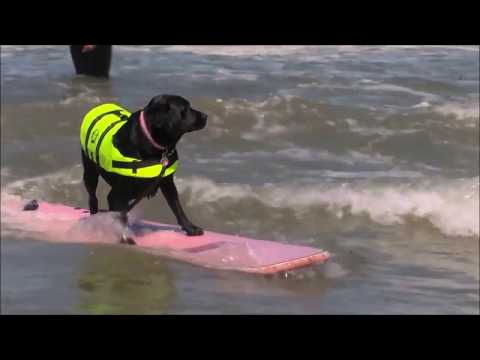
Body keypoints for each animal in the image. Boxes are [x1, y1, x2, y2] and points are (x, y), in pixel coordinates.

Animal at [81, 94, 208, 245]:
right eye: (185, 109)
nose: (206, 116)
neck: (152, 143)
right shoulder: (116, 195)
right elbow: (120, 218)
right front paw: (125, 237)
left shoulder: (167, 182)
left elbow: (177, 207)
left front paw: (190, 228)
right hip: (89, 173)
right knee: (92, 198)